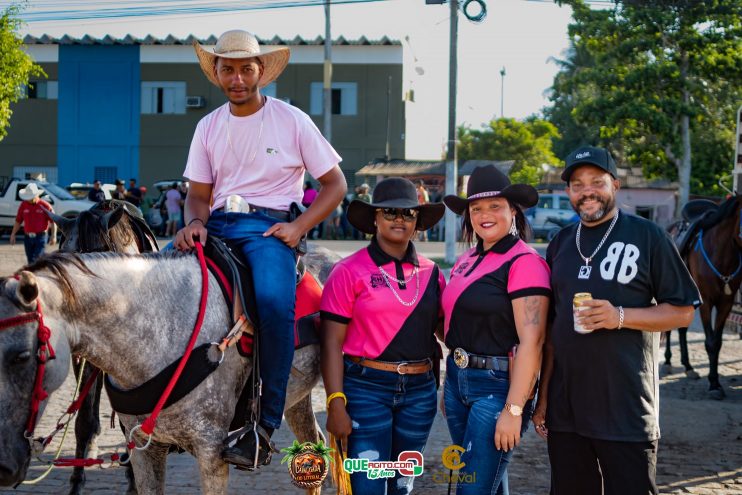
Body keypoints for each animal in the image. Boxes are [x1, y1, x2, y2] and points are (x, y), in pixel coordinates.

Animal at [668, 196, 742, 402]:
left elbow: (717, 342)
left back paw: (688, 367)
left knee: (682, 329)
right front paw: (714, 384)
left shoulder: (726, 303)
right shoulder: (707, 302)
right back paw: (668, 361)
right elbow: (710, 342)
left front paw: (715, 381)